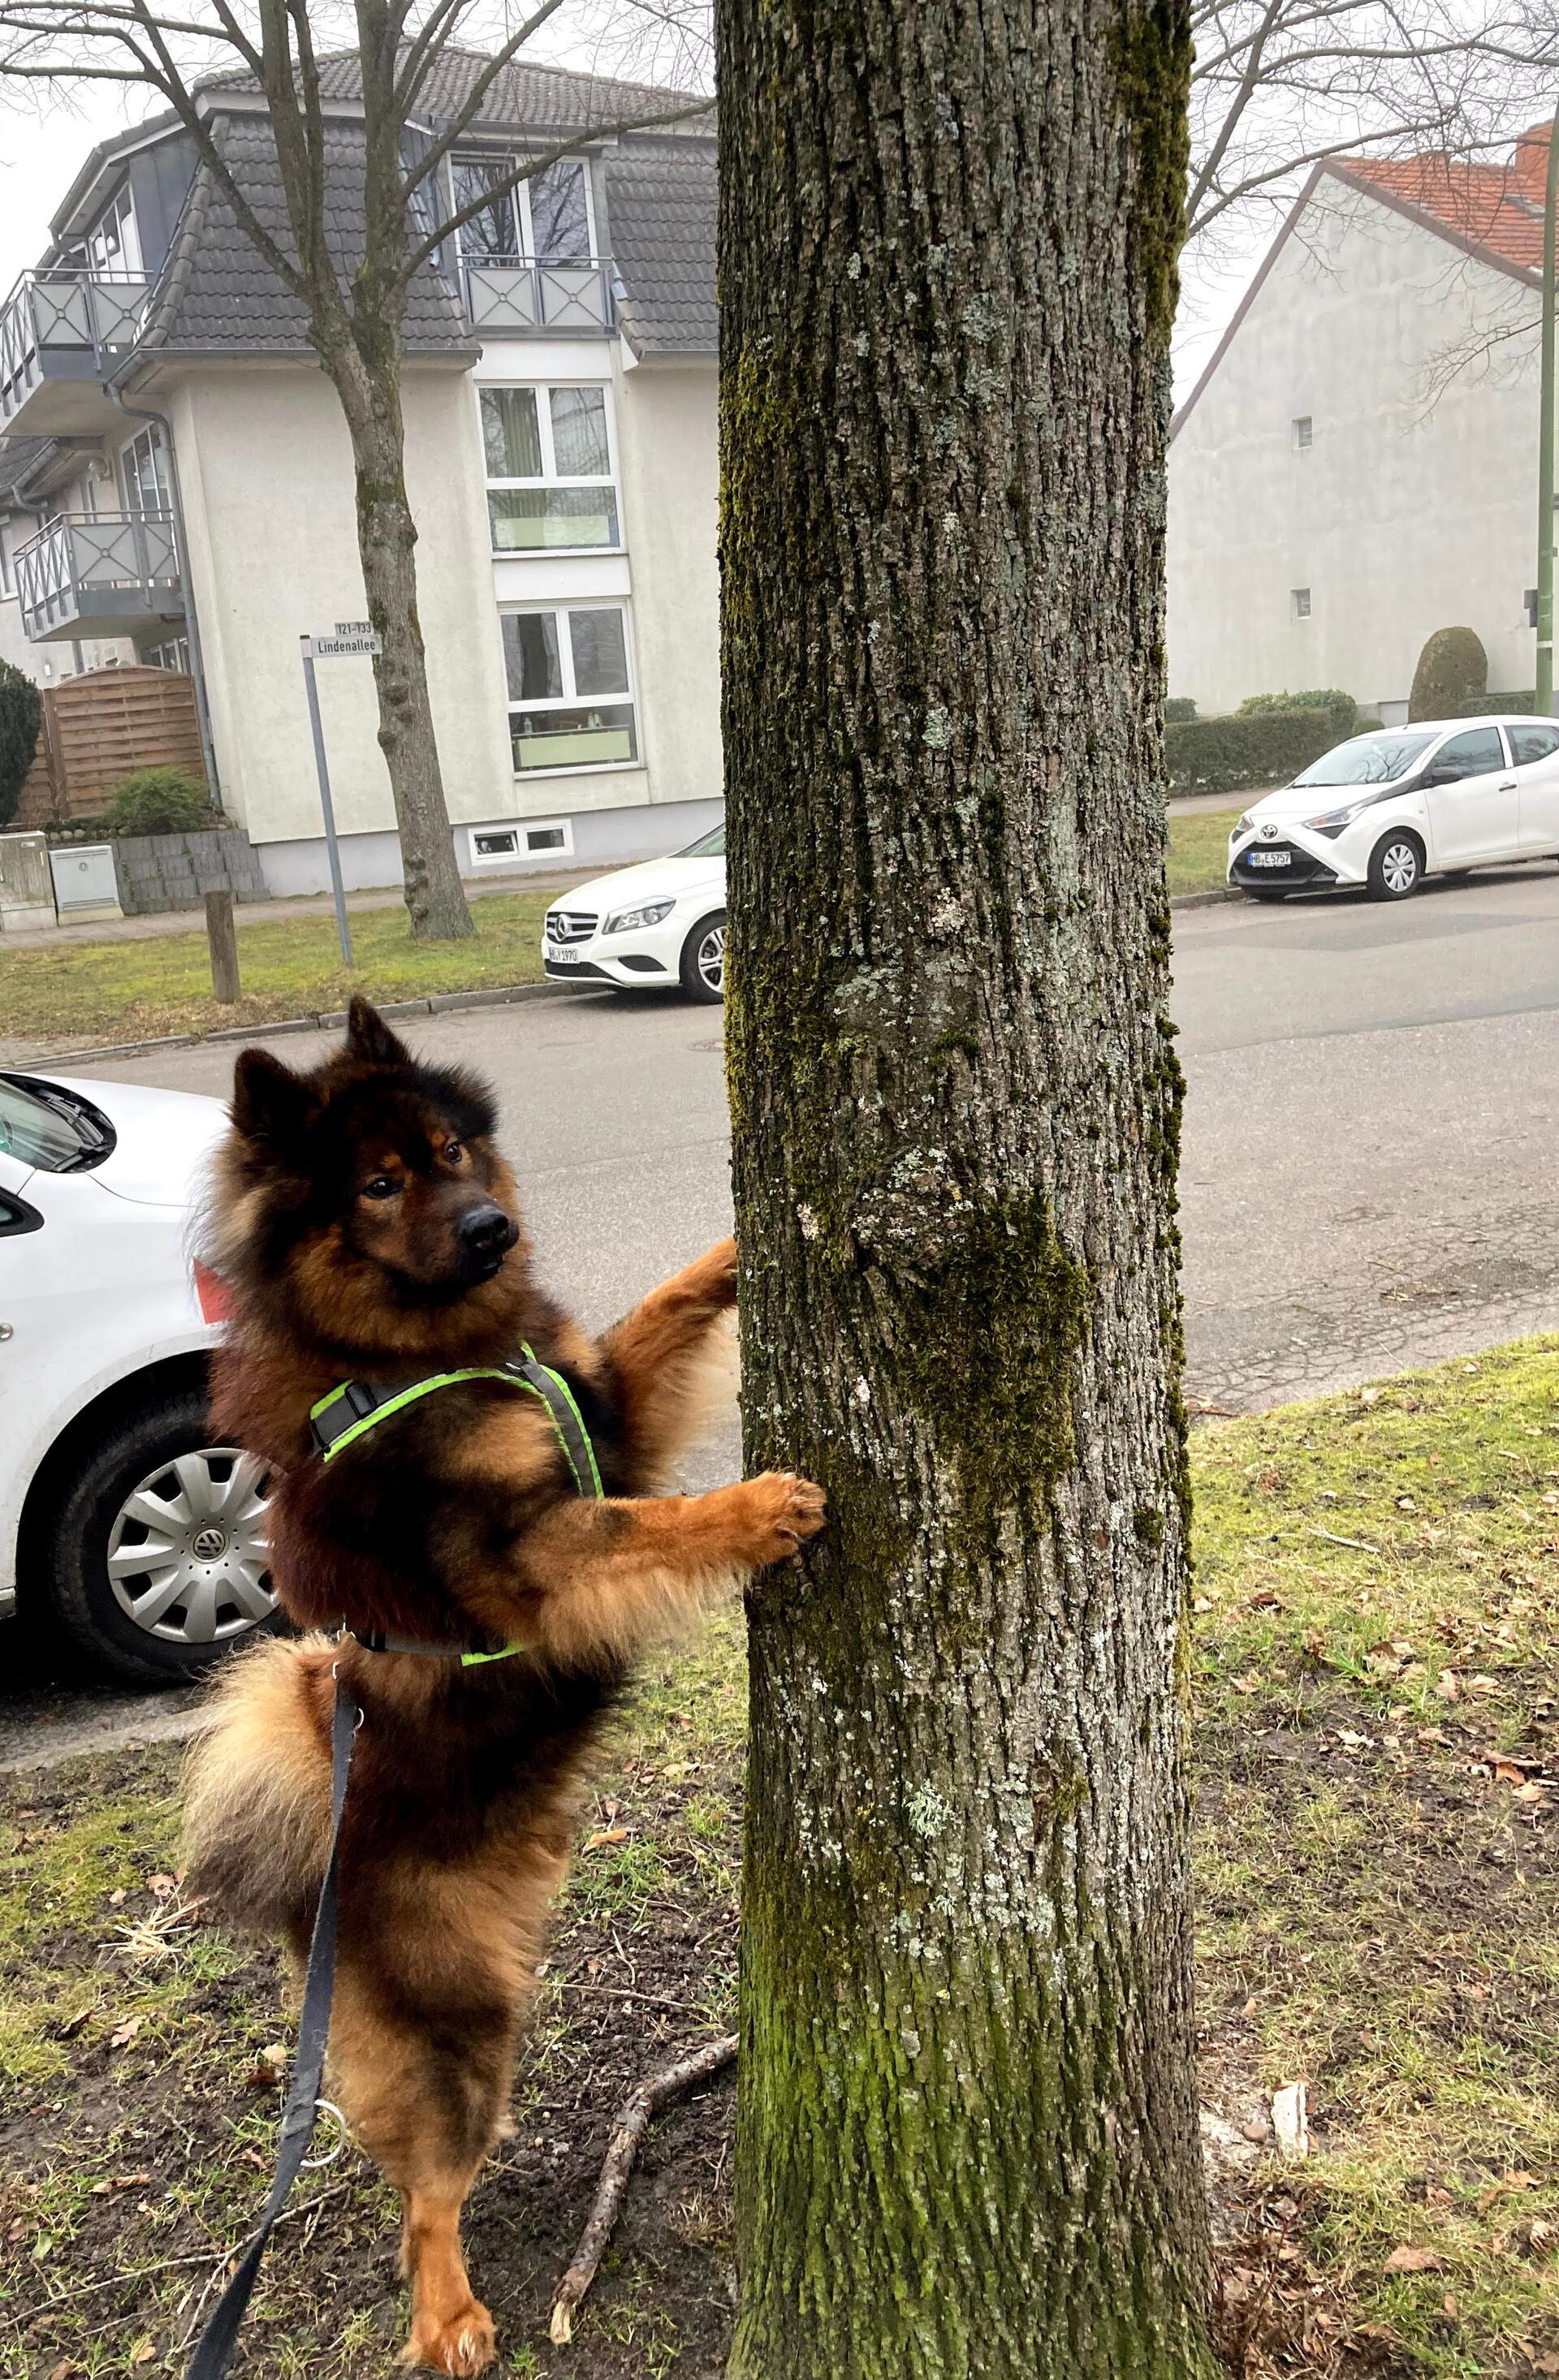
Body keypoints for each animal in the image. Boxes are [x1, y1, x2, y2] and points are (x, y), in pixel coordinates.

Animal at [179, 1004, 828, 2380]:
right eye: (378, 1186)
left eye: (452, 1154)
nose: (490, 1231)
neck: (439, 1350)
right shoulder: (529, 1554)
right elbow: (654, 1523)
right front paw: (756, 1507)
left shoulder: (610, 1408)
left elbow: (657, 1313)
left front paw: (736, 1249)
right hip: (459, 2032)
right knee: (422, 2197)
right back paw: (452, 2321)